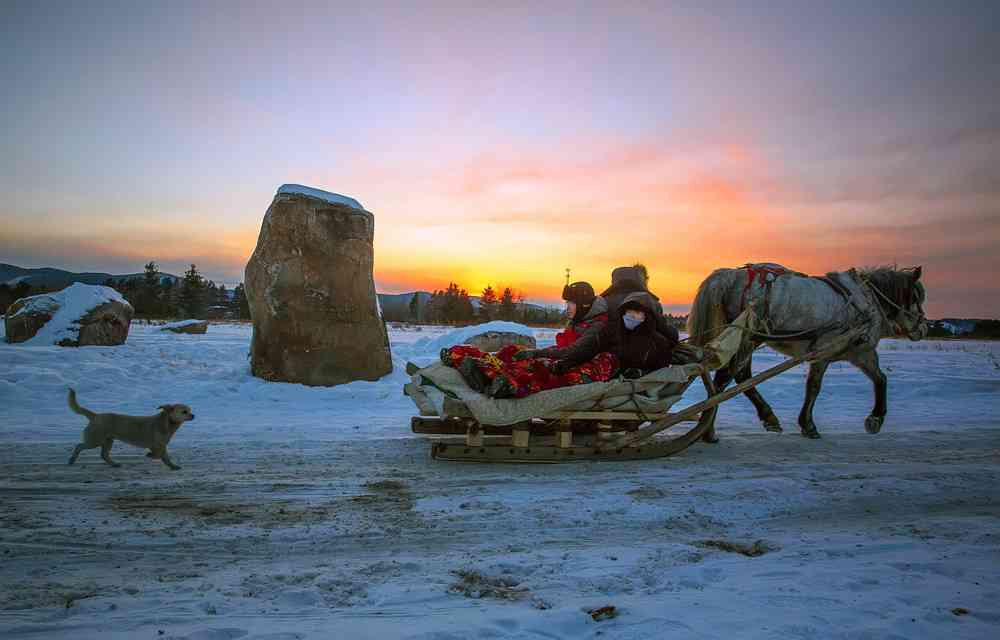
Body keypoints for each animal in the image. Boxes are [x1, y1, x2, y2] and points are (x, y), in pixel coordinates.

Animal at [688, 264, 928, 440]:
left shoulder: (857, 352)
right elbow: (815, 387)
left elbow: (879, 378)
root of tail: (728, 276)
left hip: (747, 338)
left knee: (737, 377)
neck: (867, 301)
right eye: (917, 298)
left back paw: (762, 418)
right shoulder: (835, 349)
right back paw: (709, 430)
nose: (923, 329)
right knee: (726, 378)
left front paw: (873, 419)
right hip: (748, 338)